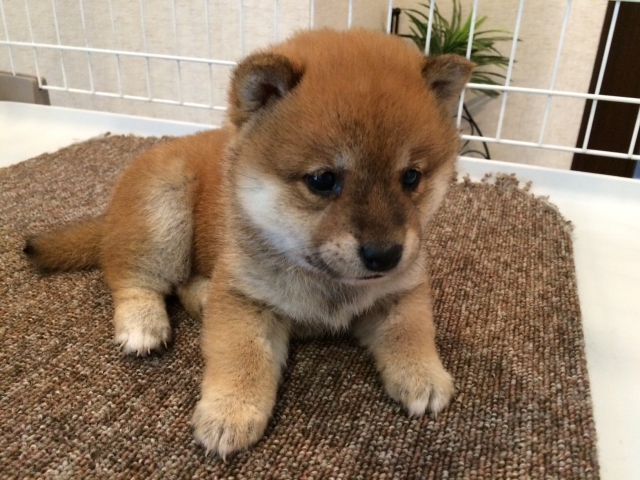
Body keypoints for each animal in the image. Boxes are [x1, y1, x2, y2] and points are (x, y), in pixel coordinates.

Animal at [24, 28, 473, 457]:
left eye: (411, 177)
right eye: (323, 180)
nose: (385, 255)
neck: (324, 282)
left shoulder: (403, 290)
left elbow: (411, 330)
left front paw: (422, 373)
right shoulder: (244, 299)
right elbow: (242, 357)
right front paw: (230, 411)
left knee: (185, 283)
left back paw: (201, 297)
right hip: (162, 215)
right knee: (132, 279)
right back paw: (143, 324)